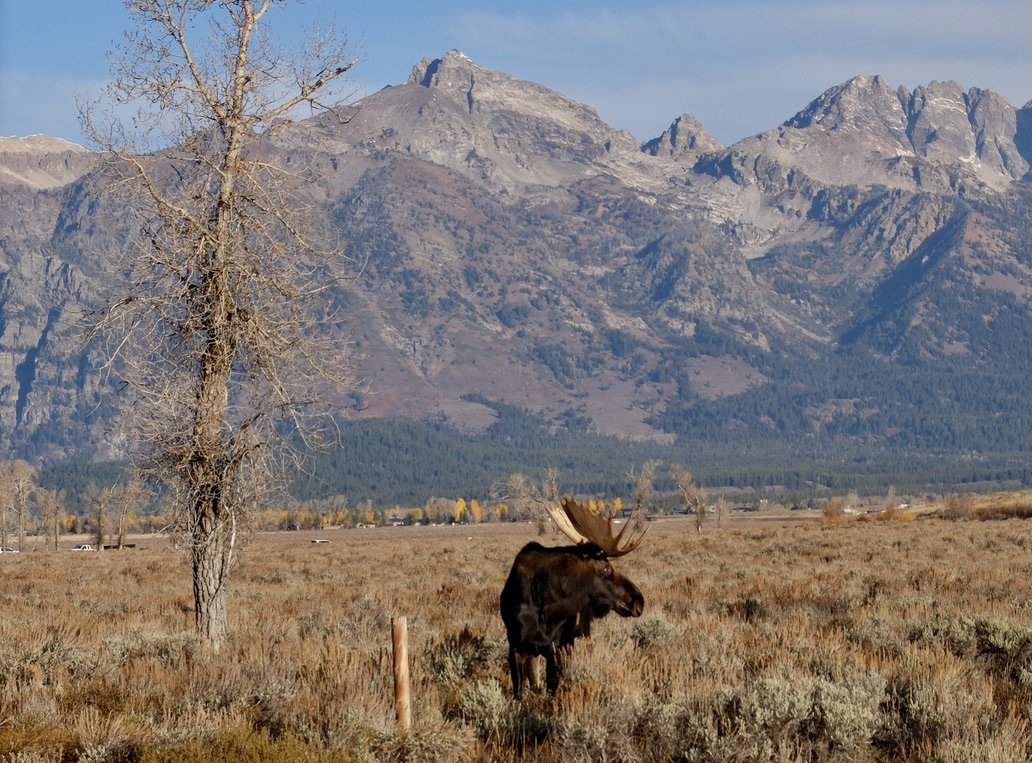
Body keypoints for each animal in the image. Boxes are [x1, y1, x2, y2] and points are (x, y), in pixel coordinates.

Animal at [497, 497, 643, 702]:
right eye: (606, 568)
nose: (639, 600)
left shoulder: (556, 646)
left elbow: (552, 686)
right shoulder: (516, 646)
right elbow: (519, 692)